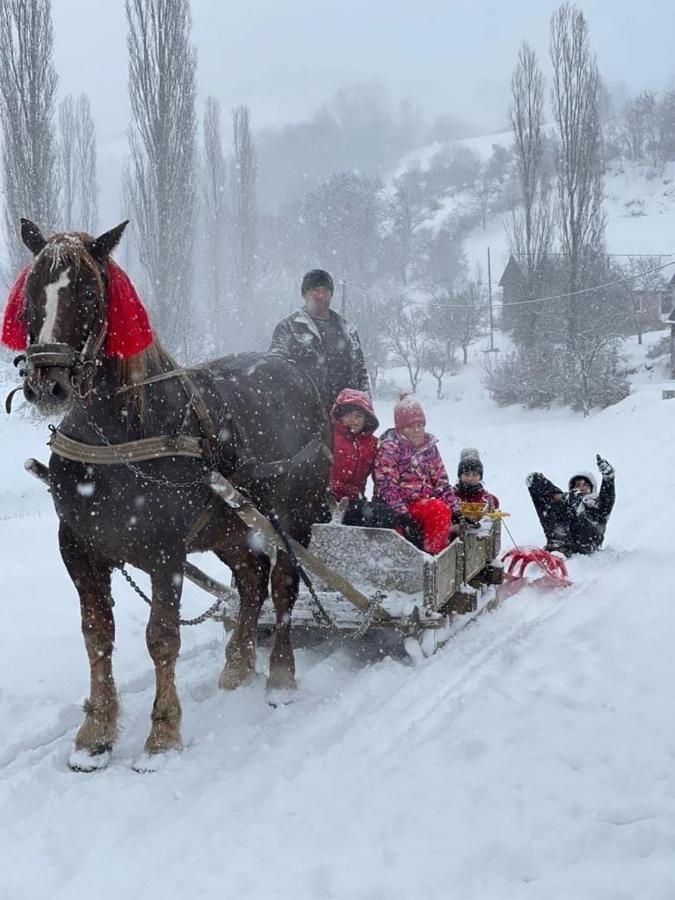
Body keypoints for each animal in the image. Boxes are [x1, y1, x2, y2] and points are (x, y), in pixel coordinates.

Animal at [5, 221, 332, 768]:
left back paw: (280, 679)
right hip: (231, 529)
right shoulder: (77, 547)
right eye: (30, 292)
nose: (47, 385)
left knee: (283, 588)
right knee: (251, 583)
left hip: (292, 520)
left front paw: (162, 734)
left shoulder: (165, 553)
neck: (116, 437)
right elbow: (97, 635)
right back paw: (238, 663)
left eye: (88, 293)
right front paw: (95, 734)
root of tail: (296, 372)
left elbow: (161, 637)